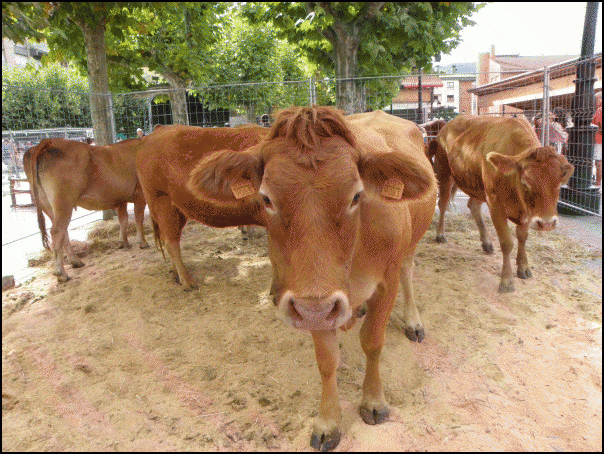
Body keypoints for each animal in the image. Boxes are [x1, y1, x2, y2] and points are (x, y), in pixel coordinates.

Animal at [23, 137, 149, 282]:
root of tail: (49, 141)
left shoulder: (120, 198)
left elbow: (123, 220)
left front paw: (123, 242)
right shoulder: (140, 192)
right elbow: (139, 218)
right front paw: (142, 242)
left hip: (47, 205)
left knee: (63, 231)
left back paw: (75, 261)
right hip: (63, 202)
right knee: (56, 231)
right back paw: (61, 273)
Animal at [137, 124, 272, 288]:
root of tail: (158, 129)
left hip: (177, 210)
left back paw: (175, 273)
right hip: (162, 204)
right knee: (171, 242)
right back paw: (187, 281)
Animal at [186, 106, 436, 450]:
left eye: (356, 195)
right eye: (266, 199)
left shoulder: (382, 284)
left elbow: (373, 342)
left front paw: (374, 401)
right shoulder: (313, 301)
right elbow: (327, 359)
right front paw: (328, 421)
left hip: (409, 248)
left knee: (408, 271)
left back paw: (413, 321)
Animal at [432, 115, 572, 292]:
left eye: (560, 184)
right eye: (525, 183)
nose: (546, 224)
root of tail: (446, 126)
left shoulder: (527, 211)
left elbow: (522, 237)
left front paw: (523, 266)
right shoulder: (495, 205)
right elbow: (507, 242)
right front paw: (506, 280)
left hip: (478, 186)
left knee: (473, 206)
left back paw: (486, 242)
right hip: (444, 173)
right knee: (443, 204)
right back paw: (440, 234)